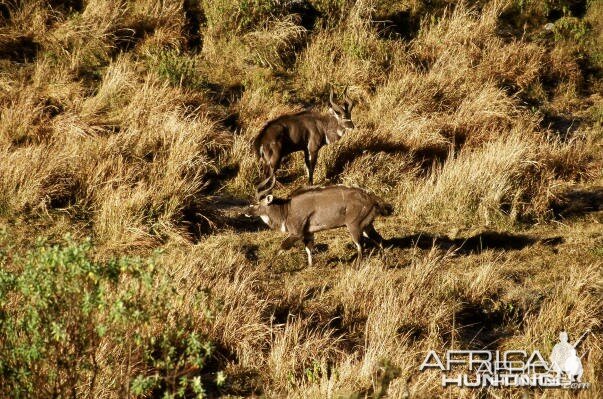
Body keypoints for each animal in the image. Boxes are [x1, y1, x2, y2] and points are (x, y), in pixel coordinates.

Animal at [243, 181, 394, 268]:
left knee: (360, 246)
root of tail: (372, 198)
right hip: (367, 227)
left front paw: (266, 266)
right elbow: (309, 249)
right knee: (379, 240)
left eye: (257, 204)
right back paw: (385, 264)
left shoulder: (297, 233)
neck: (286, 209)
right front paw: (310, 267)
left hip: (354, 226)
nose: (246, 212)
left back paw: (356, 267)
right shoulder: (308, 233)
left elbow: (282, 246)